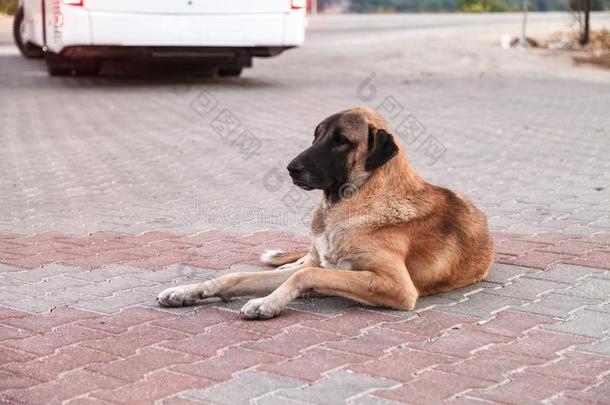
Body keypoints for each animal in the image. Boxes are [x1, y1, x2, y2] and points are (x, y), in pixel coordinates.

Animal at [157, 106, 494, 318]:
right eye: (316, 136)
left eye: (341, 141)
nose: (291, 168)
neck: (353, 202)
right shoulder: (323, 262)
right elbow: (236, 276)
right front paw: (187, 291)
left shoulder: (397, 286)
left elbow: (307, 275)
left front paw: (268, 303)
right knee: (295, 263)